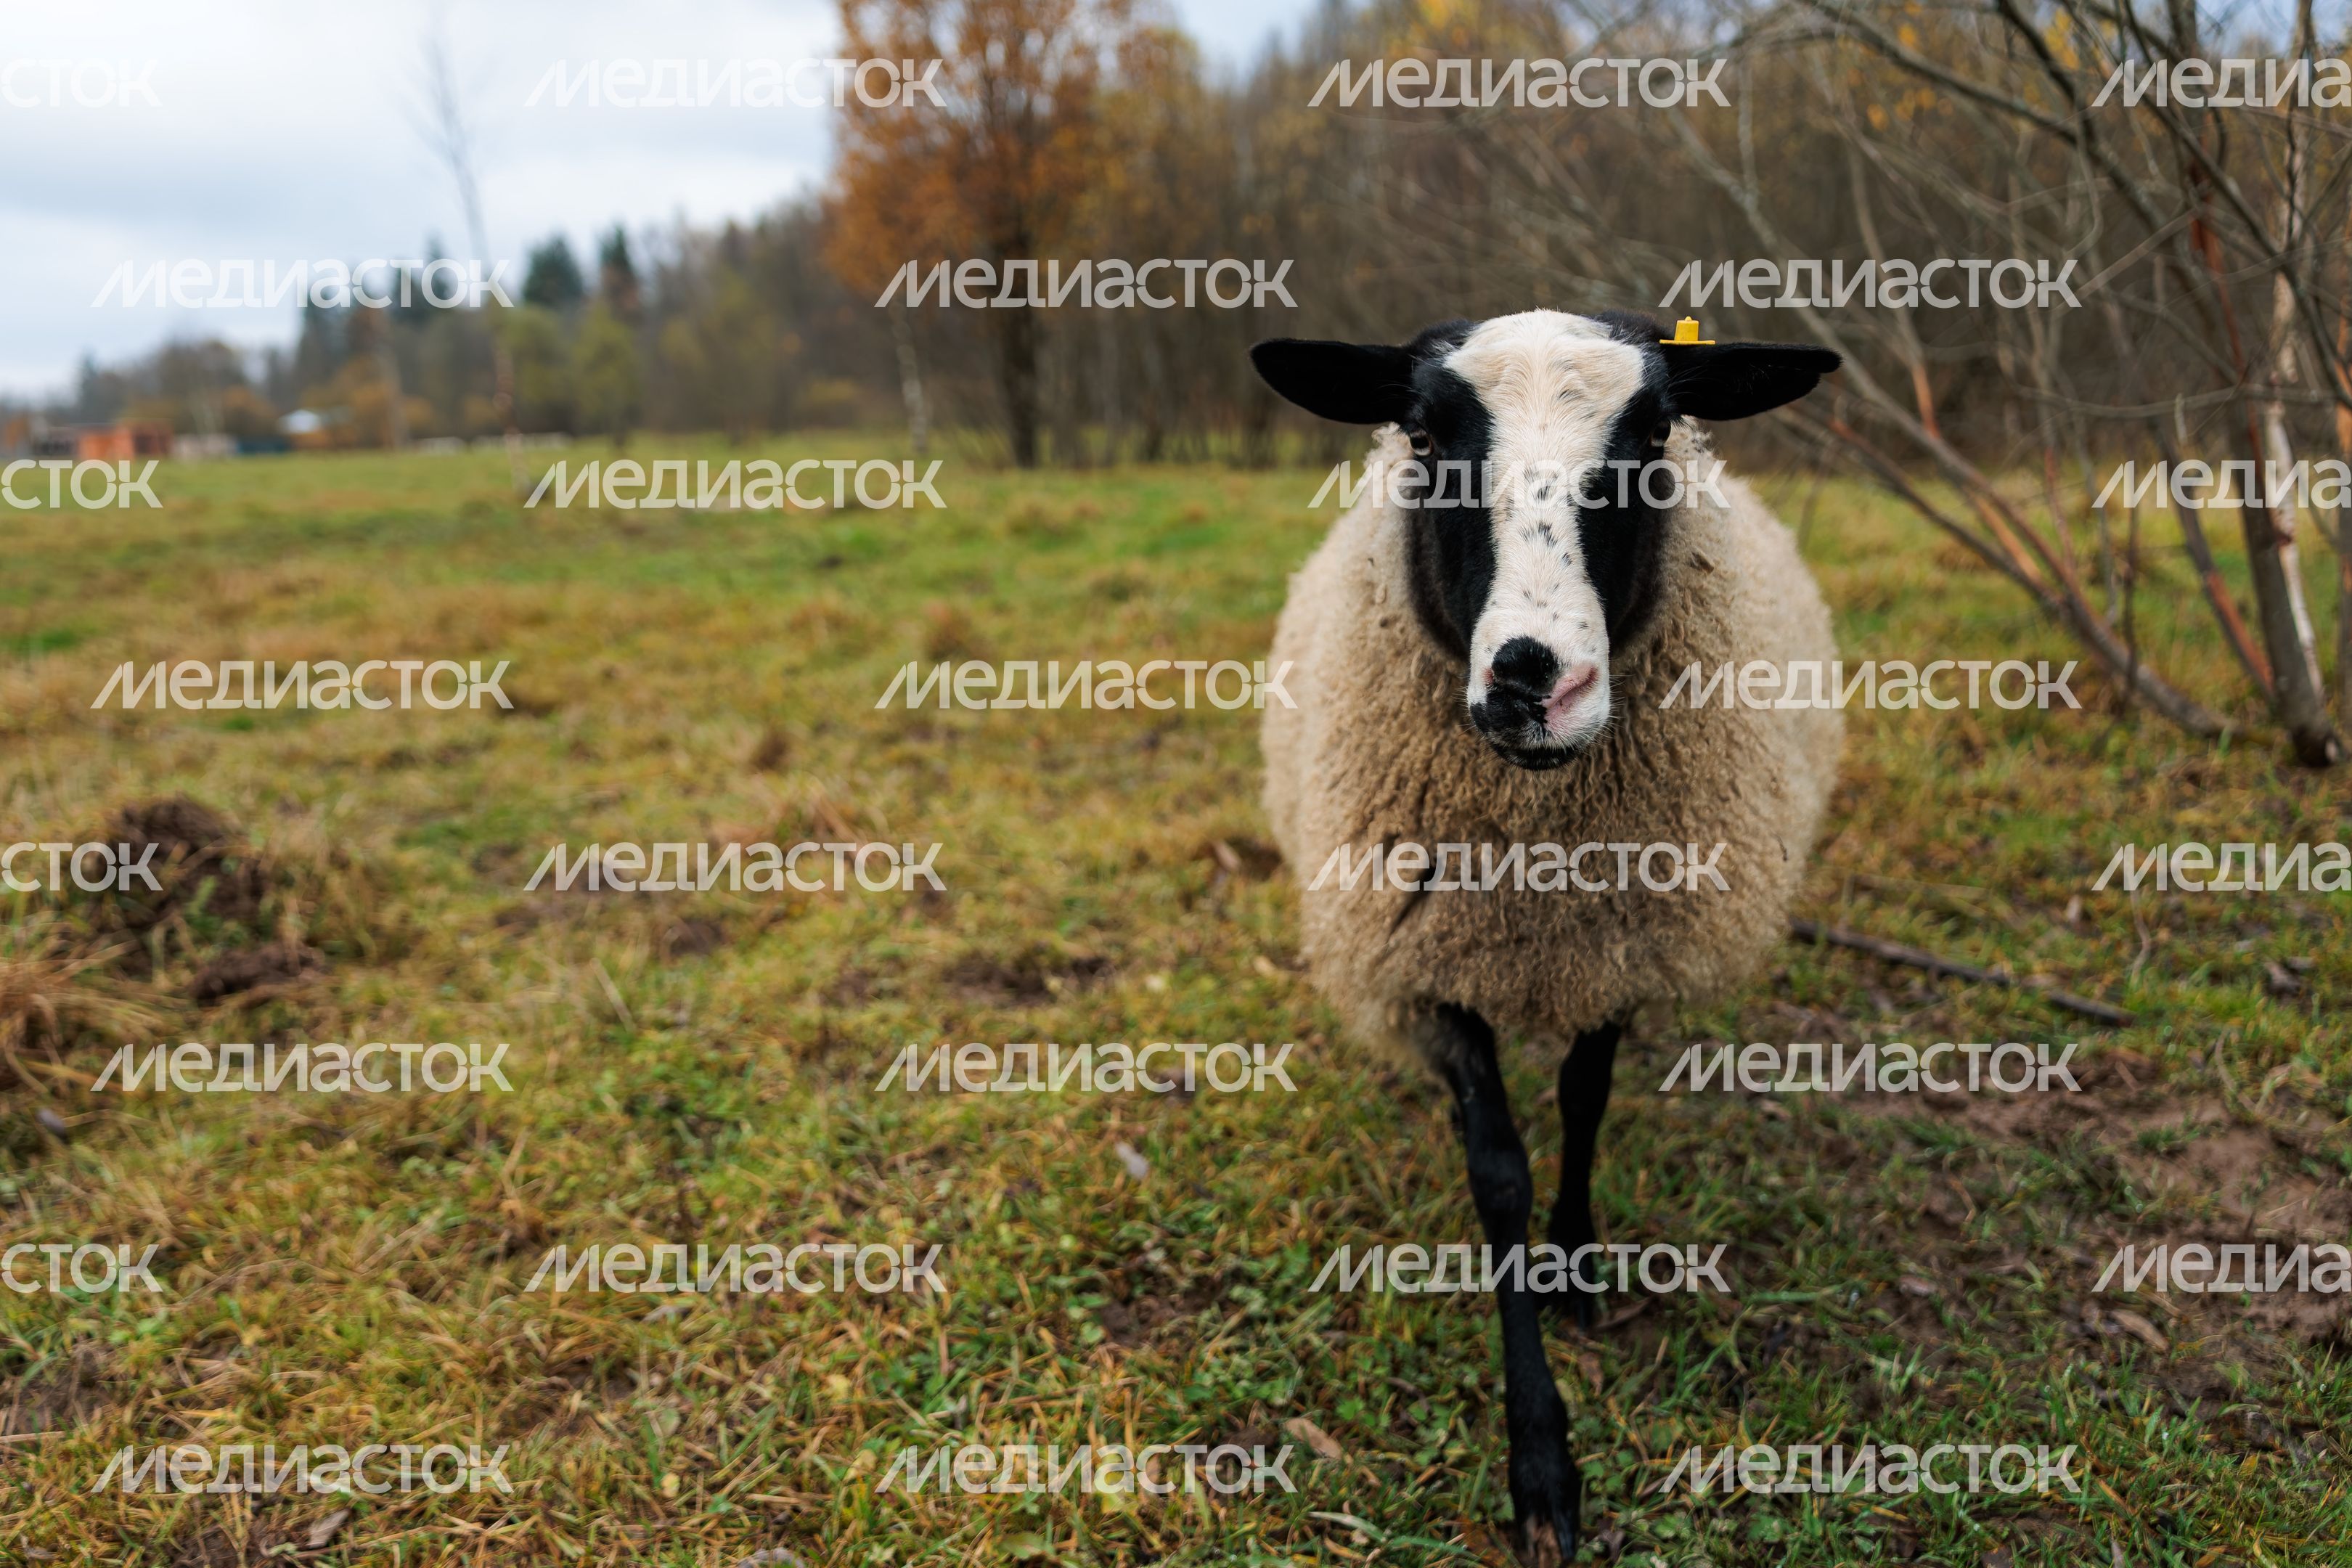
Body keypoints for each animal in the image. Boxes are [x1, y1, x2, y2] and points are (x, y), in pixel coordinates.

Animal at [1250, 309, 1843, 1562]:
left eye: (1656, 433)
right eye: (1425, 435)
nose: (1534, 681)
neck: (1534, 850)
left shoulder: (1619, 946)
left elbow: (1583, 1101)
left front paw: (1576, 1263)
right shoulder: (1431, 963)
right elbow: (1499, 1175)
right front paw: (1540, 1464)